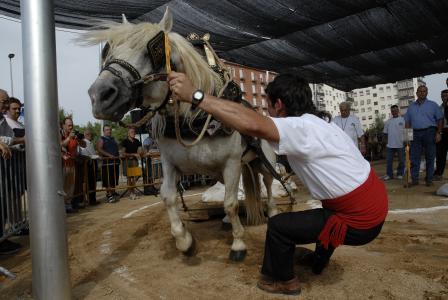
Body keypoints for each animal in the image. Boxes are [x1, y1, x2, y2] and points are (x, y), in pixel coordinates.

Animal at [81, 8, 280, 262]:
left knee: (268, 182)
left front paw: (238, 244)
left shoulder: (232, 163)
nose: (99, 95)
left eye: (152, 50)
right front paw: (184, 240)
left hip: (263, 161)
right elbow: (168, 196)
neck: (193, 119)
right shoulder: (169, 163)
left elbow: (231, 203)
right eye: (109, 50)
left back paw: (272, 212)